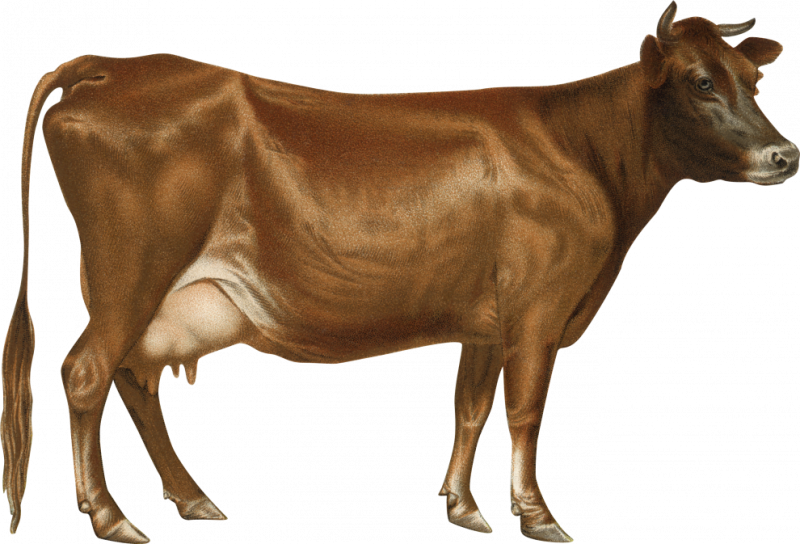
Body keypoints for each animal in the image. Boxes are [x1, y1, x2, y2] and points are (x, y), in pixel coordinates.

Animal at [2, 1, 797, 543]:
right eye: (700, 82)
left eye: (754, 80)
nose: (784, 154)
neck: (587, 152)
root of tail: (116, 65)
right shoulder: (538, 309)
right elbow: (526, 410)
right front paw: (537, 516)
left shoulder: (484, 321)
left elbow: (470, 407)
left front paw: (464, 507)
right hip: (129, 275)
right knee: (86, 373)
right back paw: (110, 518)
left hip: (161, 297)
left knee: (133, 379)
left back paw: (192, 498)